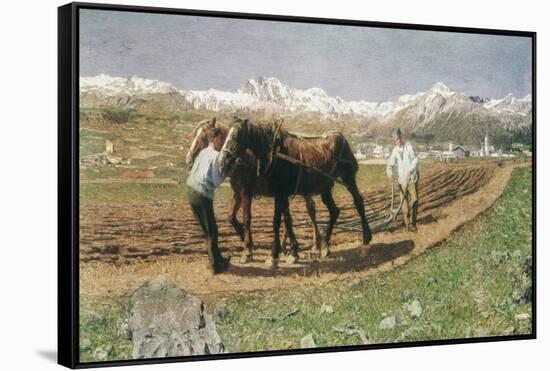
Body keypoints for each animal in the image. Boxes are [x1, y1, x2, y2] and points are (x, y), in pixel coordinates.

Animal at [187, 117, 324, 264]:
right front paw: (246, 240)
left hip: (303, 191)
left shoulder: (246, 193)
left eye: (203, 137)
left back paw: (316, 246)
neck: (243, 160)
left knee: (311, 210)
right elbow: (231, 216)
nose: (188, 160)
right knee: (291, 215)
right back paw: (288, 247)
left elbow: (247, 218)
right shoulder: (238, 194)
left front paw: (247, 250)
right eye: (194, 135)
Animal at [221, 117, 376, 266]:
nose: (223, 162)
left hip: (348, 178)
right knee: (334, 211)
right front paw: (292, 252)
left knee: (358, 202)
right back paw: (325, 246)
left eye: (238, 135)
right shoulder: (280, 194)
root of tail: (340, 136)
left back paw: (366, 239)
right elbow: (287, 220)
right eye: (226, 134)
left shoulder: (276, 193)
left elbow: (276, 221)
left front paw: (274, 255)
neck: (275, 153)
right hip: (325, 187)